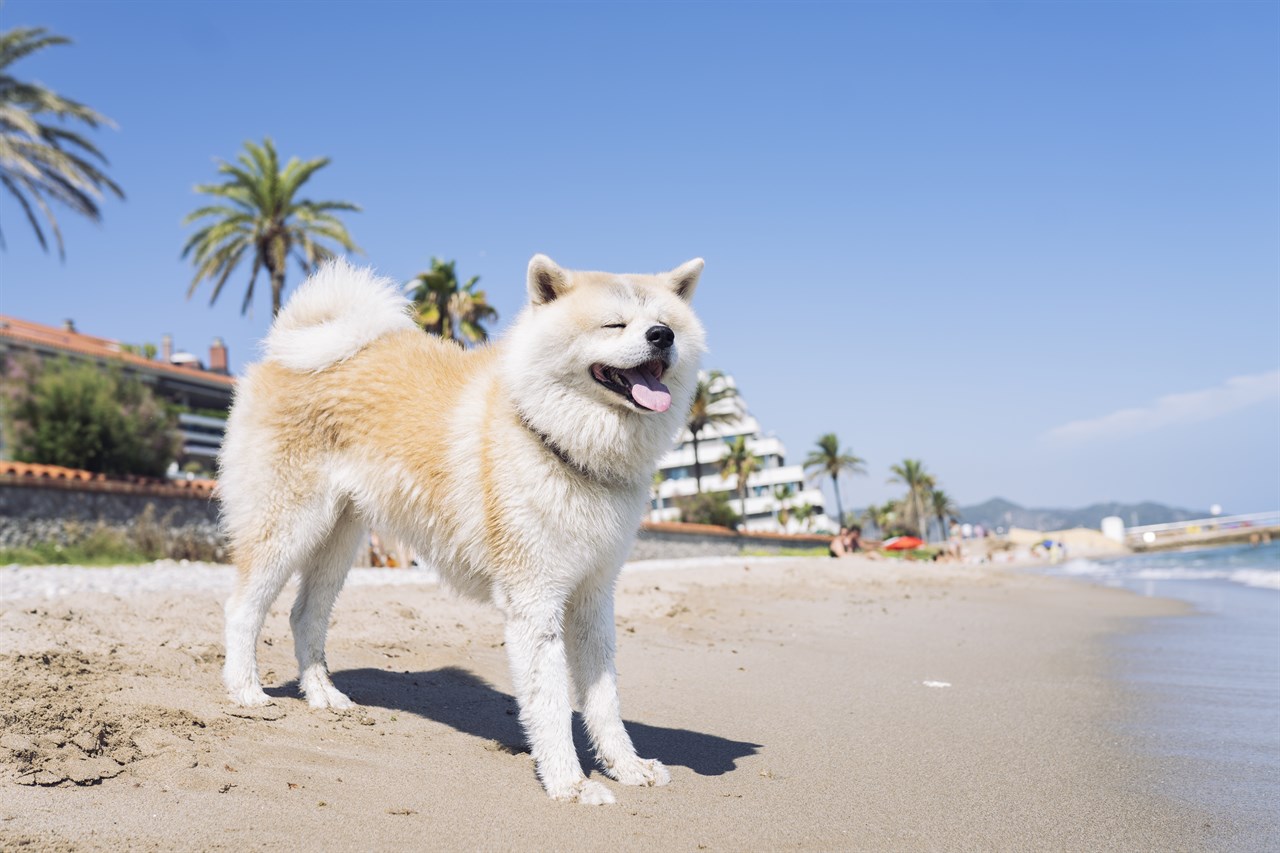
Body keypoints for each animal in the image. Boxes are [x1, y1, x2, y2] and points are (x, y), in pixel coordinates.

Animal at [215, 251, 706, 799]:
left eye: (664, 322)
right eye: (615, 324)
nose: (662, 335)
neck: (553, 439)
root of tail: (289, 347)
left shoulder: (593, 597)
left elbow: (604, 701)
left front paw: (626, 766)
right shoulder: (534, 603)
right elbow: (552, 704)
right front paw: (569, 784)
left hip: (339, 540)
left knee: (305, 616)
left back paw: (323, 694)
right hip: (288, 526)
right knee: (242, 609)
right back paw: (246, 690)